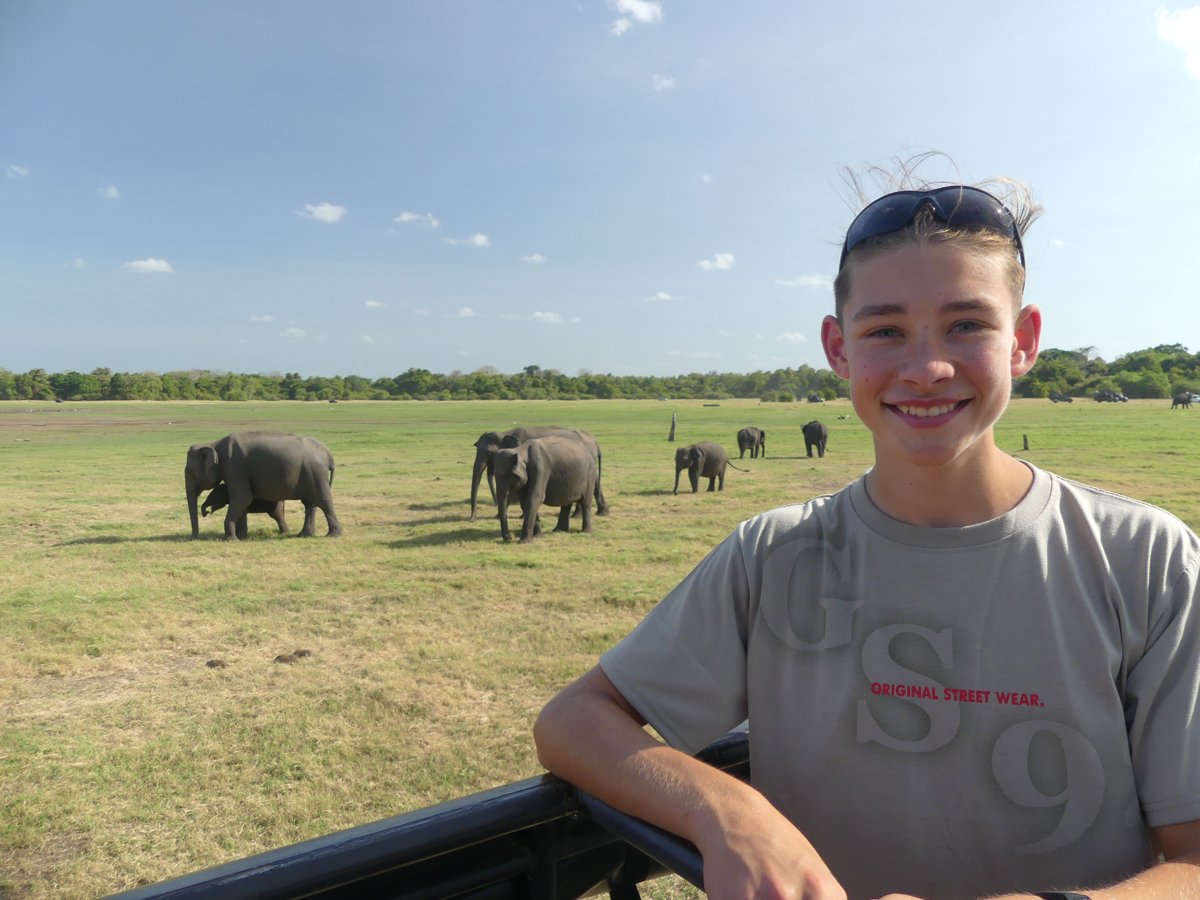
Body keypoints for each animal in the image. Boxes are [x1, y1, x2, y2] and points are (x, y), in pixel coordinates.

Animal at [185, 432, 341, 540]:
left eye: (191, 474)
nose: (193, 538)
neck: (214, 444)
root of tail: (329, 455)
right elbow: (242, 502)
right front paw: (241, 537)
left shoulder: (235, 467)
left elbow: (242, 498)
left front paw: (231, 540)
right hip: (309, 474)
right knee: (310, 503)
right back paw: (303, 535)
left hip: (316, 473)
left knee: (324, 501)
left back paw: (332, 536)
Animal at [470, 426, 608, 520]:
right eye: (476, 448)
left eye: (490, 453)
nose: (471, 519)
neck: (505, 433)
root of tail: (595, 442)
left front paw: (508, 516)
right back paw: (599, 513)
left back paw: (579, 515)